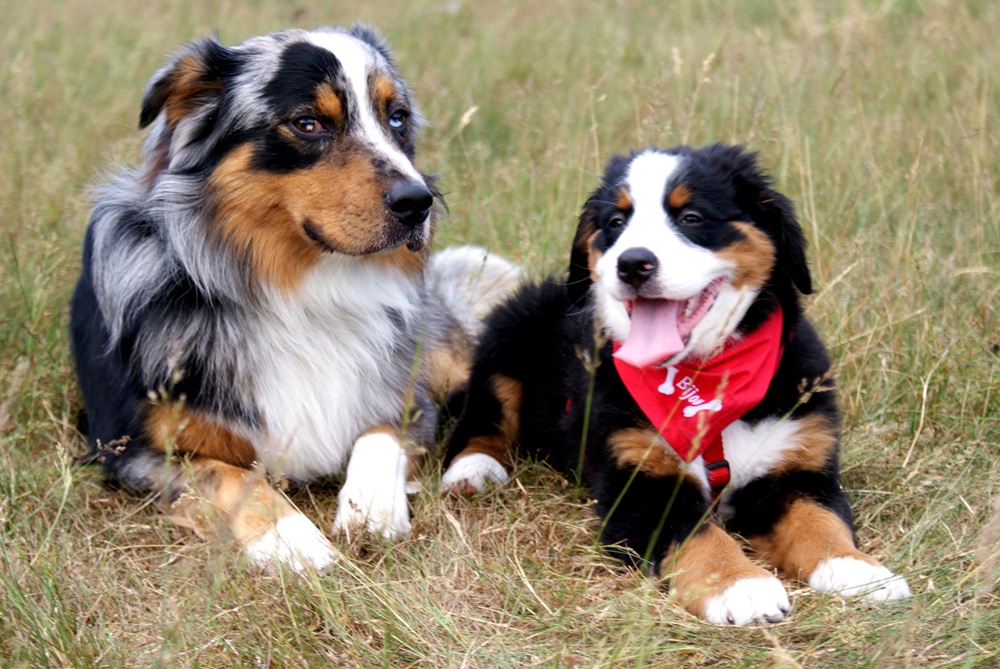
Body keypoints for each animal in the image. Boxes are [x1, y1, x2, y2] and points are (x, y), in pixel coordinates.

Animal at [72, 24, 516, 568]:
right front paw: (291, 538)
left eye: (398, 118)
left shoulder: (410, 403)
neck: (300, 288)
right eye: (307, 123)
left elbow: (378, 436)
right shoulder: (132, 450)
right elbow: (230, 475)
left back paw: (475, 469)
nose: (419, 203)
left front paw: (371, 511)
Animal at [442, 144, 912, 624]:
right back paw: (473, 470)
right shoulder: (640, 481)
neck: (709, 381)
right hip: (507, 338)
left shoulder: (797, 466)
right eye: (616, 223)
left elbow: (820, 521)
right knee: (481, 416)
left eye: (691, 217)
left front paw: (858, 571)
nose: (633, 263)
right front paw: (742, 587)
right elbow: (699, 536)